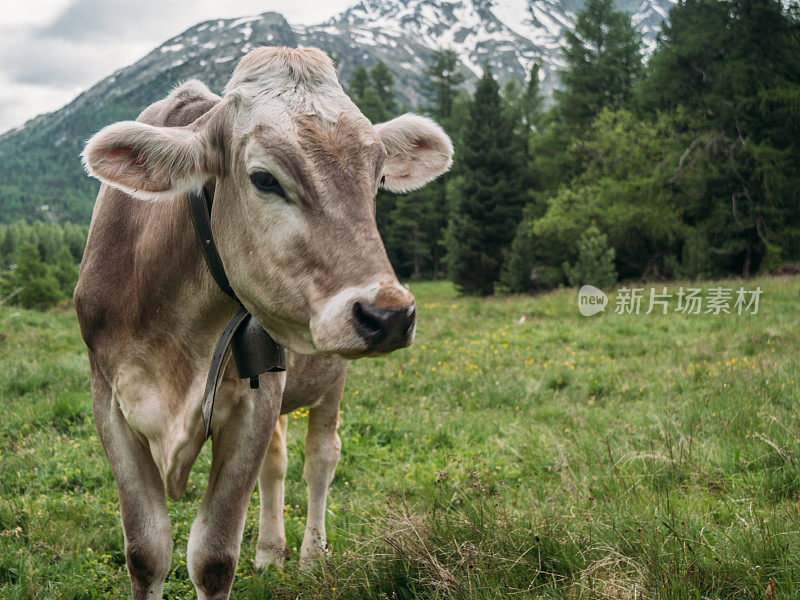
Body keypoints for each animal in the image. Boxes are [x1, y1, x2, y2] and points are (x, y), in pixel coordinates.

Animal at [77, 48, 454, 600]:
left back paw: (311, 556)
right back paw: (270, 552)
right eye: (265, 179)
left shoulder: (253, 404)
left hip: (330, 377)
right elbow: (146, 554)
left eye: (378, 176)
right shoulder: (109, 399)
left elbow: (212, 557)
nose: (389, 315)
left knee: (320, 457)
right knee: (276, 464)